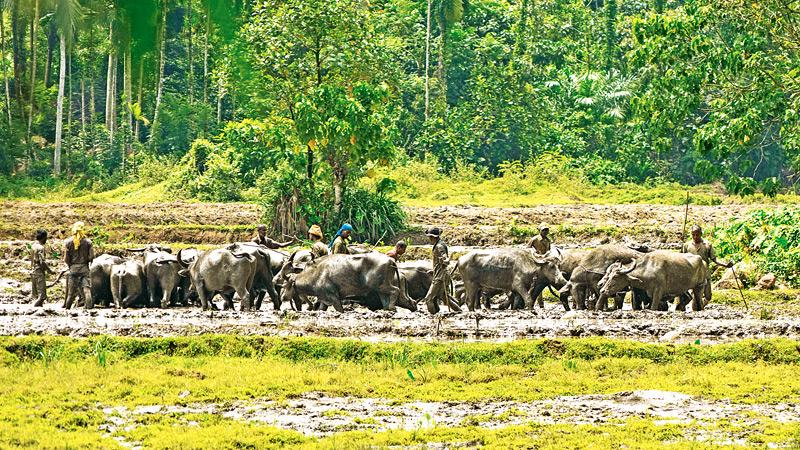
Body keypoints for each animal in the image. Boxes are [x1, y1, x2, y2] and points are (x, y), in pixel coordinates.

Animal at [280, 253, 416, 312]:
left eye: (285, 285)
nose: (282, 297)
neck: (317, 275)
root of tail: (391, 260)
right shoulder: (324, 300)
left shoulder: (334, 298)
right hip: (381, 290)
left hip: (381, 286)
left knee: (396, 290)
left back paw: (392, 307)